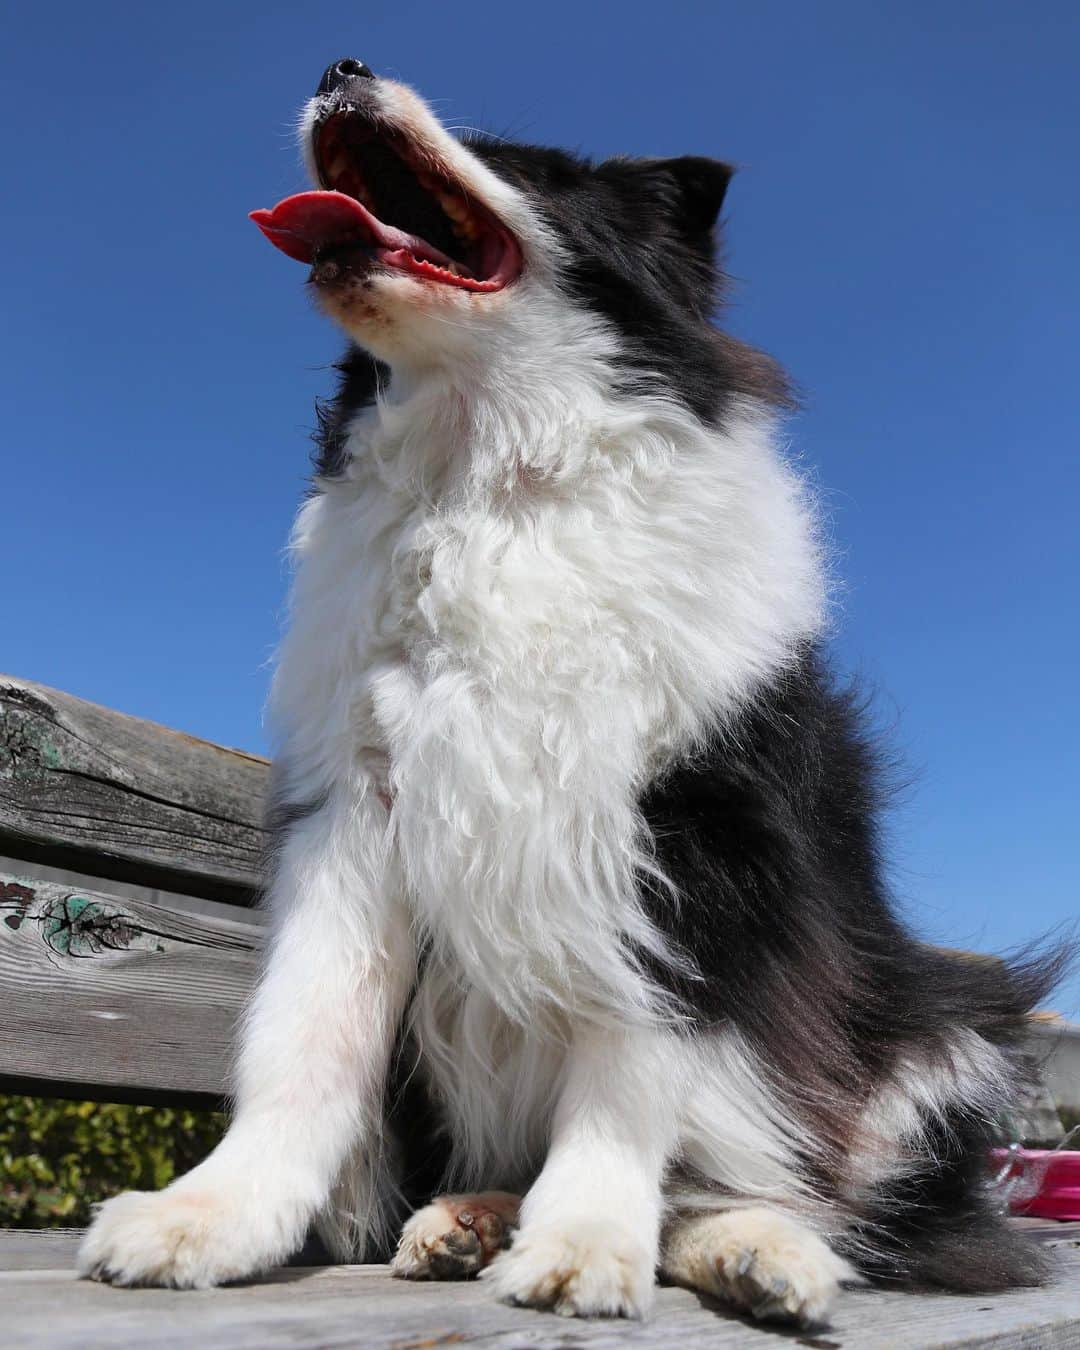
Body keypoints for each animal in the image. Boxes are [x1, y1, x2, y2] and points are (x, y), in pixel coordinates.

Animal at [80, 58, 1069, 1323]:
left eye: (520, 159)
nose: (341, 67)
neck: (490, 475)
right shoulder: (355, 806)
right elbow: (305, 1035)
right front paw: (209, 1217)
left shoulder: (684, 828)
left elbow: (630, 1053)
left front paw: (589, 1241)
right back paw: (467, 1220)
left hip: (938, 1033)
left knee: (817, 1195)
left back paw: (759, 1250)